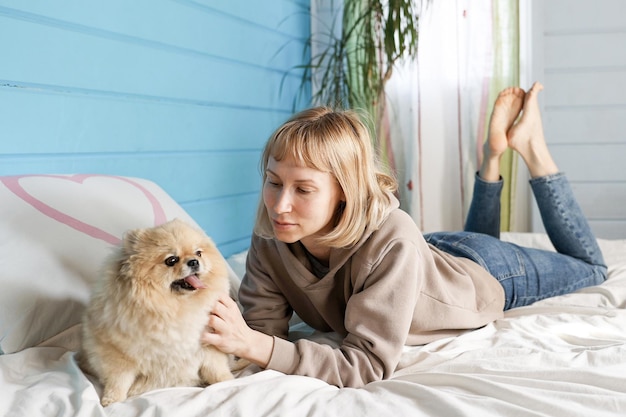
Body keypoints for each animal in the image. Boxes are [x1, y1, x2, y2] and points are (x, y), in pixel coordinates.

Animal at [78, 219, 234, 404]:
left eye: (198, 253)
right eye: (171, 260)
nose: (194, 261)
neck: (174, 308)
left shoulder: (209, 343)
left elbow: (216, 369)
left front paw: (229, 381)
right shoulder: (116, 353)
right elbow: (119, 379)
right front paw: (112, 401)